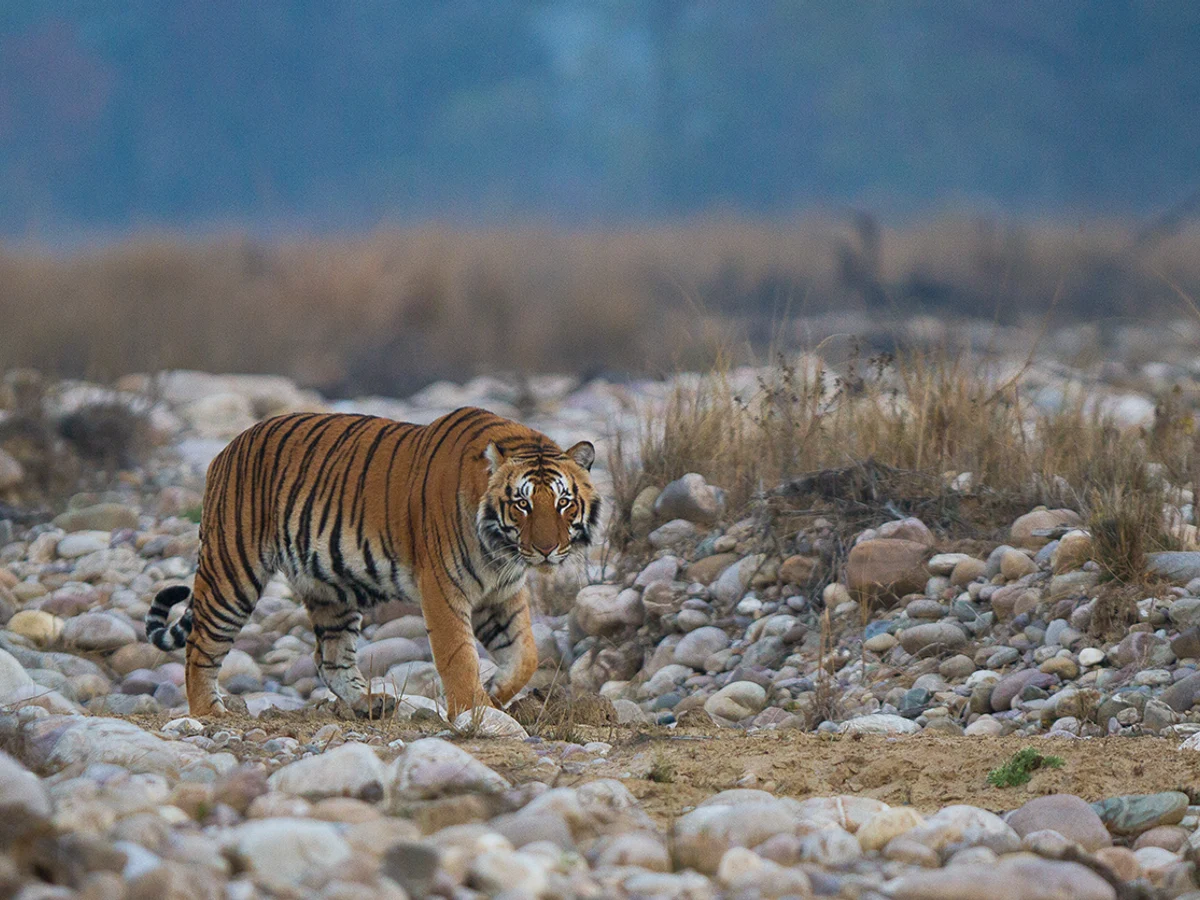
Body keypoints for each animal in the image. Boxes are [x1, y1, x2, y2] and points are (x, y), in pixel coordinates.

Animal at [144, 407, 600, 718]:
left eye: (563, 502)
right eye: (522, 504)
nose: (546, 549)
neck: (500, 551)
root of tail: (226, 449)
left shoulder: (501, 593)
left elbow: (526, 656)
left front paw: (496, 690)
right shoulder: (443, 588)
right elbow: (457, 654)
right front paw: (475, 710)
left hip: (329, 589)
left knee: (330, 659)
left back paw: (368, 703)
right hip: (233, 572)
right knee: (200, 645)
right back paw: (208, 711)